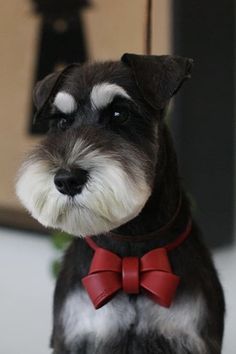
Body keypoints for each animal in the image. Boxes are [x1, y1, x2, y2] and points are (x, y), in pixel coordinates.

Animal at [17, 53, 225, 354]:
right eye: (62, 122)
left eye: (119, 114)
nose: (67, 180)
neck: (130, 244)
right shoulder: (73, 337)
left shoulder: (191, 338)